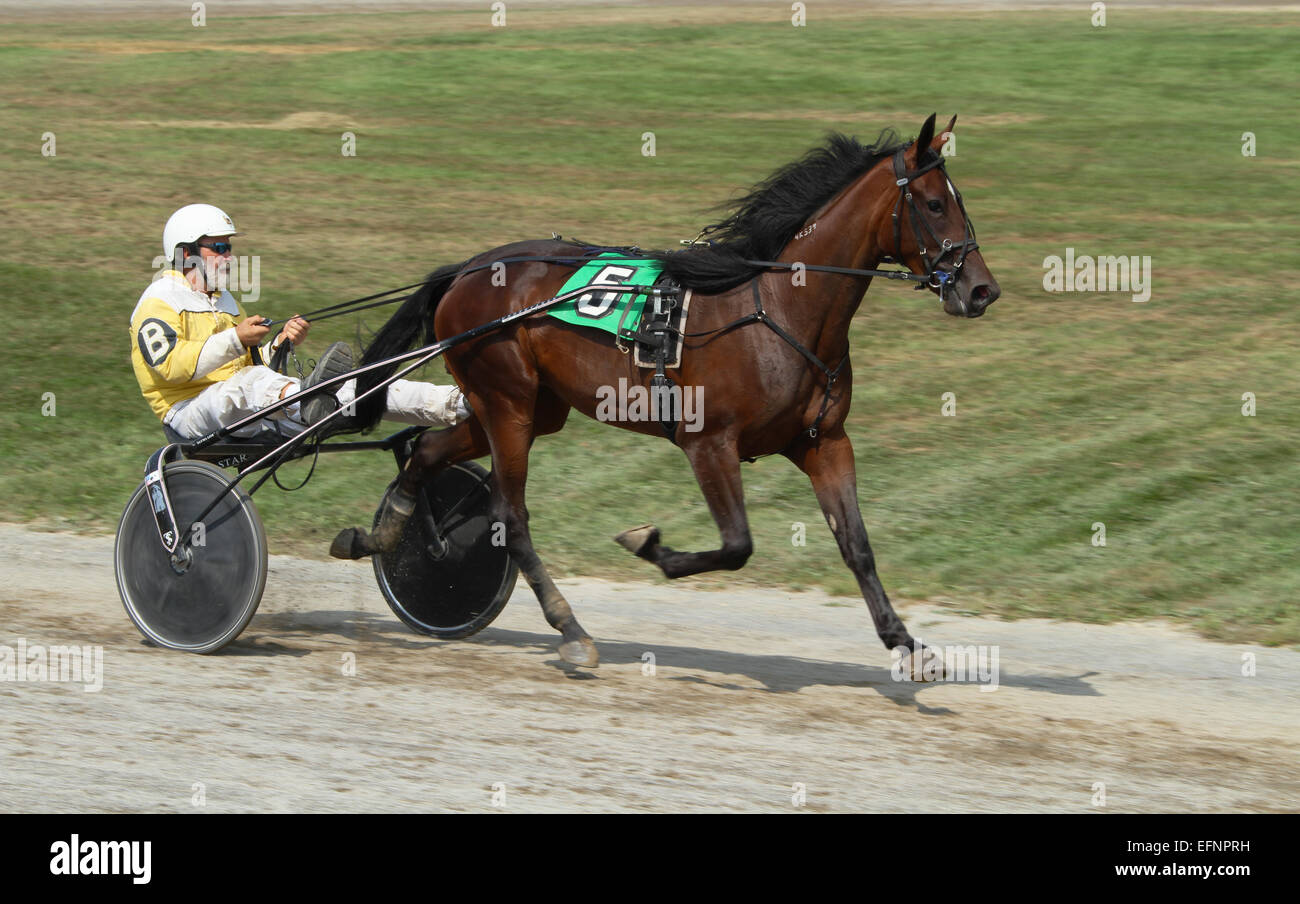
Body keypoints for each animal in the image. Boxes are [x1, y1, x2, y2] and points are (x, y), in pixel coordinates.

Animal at [332, 113, 993, 665]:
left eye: (958, 202)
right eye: (935, 204)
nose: (983, 290)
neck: (778, 310)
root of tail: (464, 271)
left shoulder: (823, 441)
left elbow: (857, 545)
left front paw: (905, 642)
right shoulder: (709, 443)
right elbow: (737, 545)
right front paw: (648, 545)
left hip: (530, 408)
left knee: (428, 453)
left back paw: (379, 536)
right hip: (507, 403)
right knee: (509, 516)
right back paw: (570, 627)